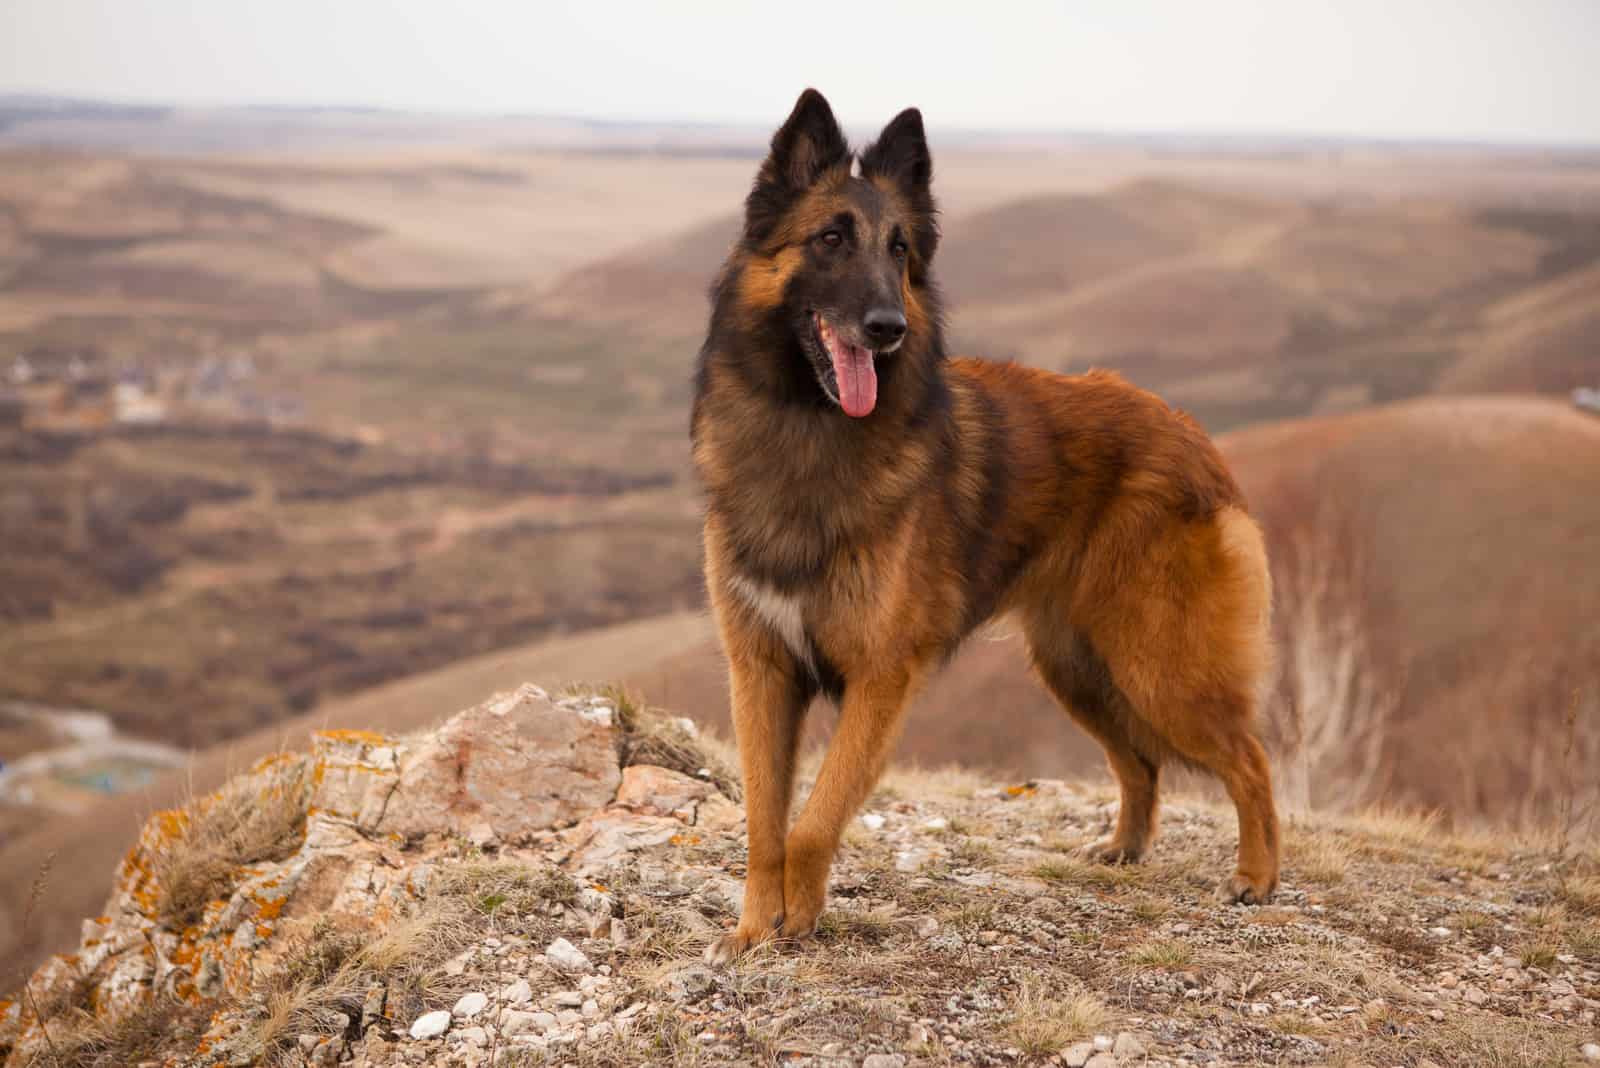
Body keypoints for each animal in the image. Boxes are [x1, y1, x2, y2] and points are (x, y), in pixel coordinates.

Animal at [694, 87, 1280, 965]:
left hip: (1159, 664)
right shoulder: (761, 669)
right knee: (1141, 762)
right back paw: (1125, 847)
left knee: (1250, 759)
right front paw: (754, 930)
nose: (888, 327)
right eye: (831, 238)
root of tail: (1193, 435)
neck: (809, 429)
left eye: (901, 249)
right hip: (1078, 666)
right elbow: (764, 822)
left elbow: (814, 821)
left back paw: (1256, 877)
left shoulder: (880, 678)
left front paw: (799, 920)